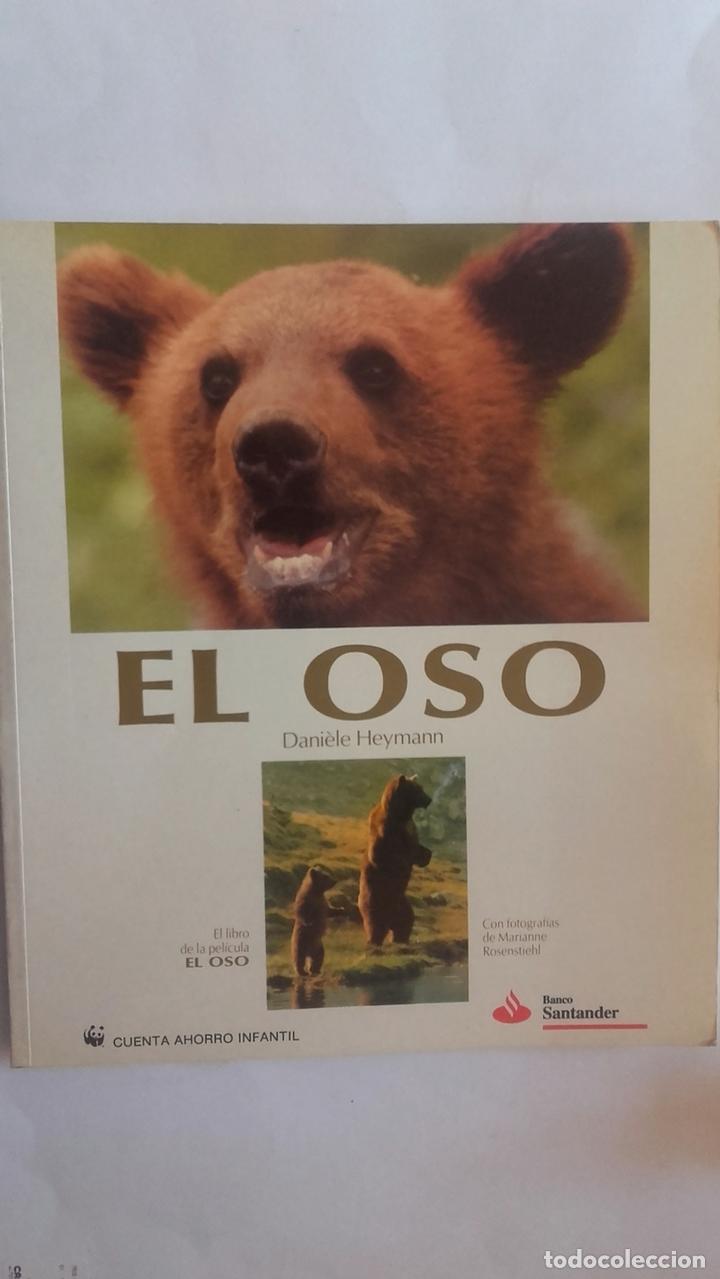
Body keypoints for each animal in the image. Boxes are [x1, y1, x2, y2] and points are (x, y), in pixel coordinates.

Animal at [358, 774, 433, 947]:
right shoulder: (386, 831)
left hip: (402, 904)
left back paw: (401, 939)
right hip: (375, 900)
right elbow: (384, 856)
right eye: (418, 789)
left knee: (406, 921)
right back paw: (374, 942)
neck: (401, 815)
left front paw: (427, 855)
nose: (429, 799)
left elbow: (416, 848)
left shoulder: (409, 828)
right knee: (375, 925)